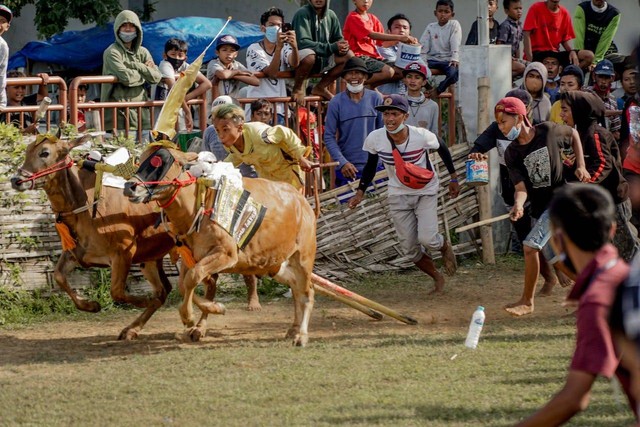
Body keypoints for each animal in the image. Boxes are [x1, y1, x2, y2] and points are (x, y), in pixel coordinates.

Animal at [9, 135, 225, 342]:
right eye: (27, 150)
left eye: (44, 152)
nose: (16, 179)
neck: (85, 205)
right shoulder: (76, 253)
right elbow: (59, 277)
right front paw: (91, 305)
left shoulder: (123, 253)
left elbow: (117, 292)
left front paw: (143, 301)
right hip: (151, 259)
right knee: (166, 289)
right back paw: (133, 329)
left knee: (206, 282)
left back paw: (201, 324)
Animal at [124, 144, 316, 348]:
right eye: (140, 160)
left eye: (161, 162)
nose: (129, 187)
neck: (197, 208)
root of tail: (302, 202)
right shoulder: (191, 258)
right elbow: (184, 285)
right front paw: (214, 309)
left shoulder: (226, 254)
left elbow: (193, 278)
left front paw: (189, 316)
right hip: (275, 264)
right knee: (296, 288)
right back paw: (293, 329)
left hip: (303, 258)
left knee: (306, 293)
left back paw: (301, 335)